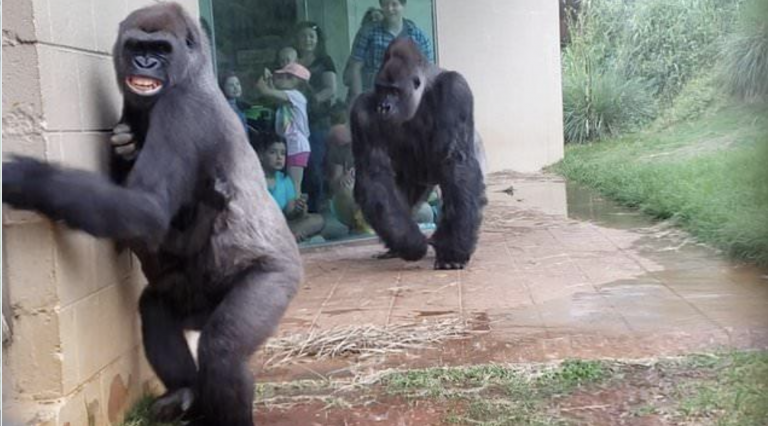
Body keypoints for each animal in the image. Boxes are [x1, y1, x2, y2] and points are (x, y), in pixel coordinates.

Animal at [2, 4, 300, 426]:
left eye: (161, 49)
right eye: (136, 47)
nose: (145, 63)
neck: (194, 72)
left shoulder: (181, 109)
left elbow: (146, 209)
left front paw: (26, 179)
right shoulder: (132, 107)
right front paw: (124, 148)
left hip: (278, 279)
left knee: (223, 348)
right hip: (197, 300)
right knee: (156, 308)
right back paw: (188, 393)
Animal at [350, 37, 484, 270]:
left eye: (394, 91)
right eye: (381, 89)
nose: (383, 107)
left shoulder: (455, 90)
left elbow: (457, 163)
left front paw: (454, 249)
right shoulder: (361, 112)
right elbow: (375, 175)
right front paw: (409, 242)